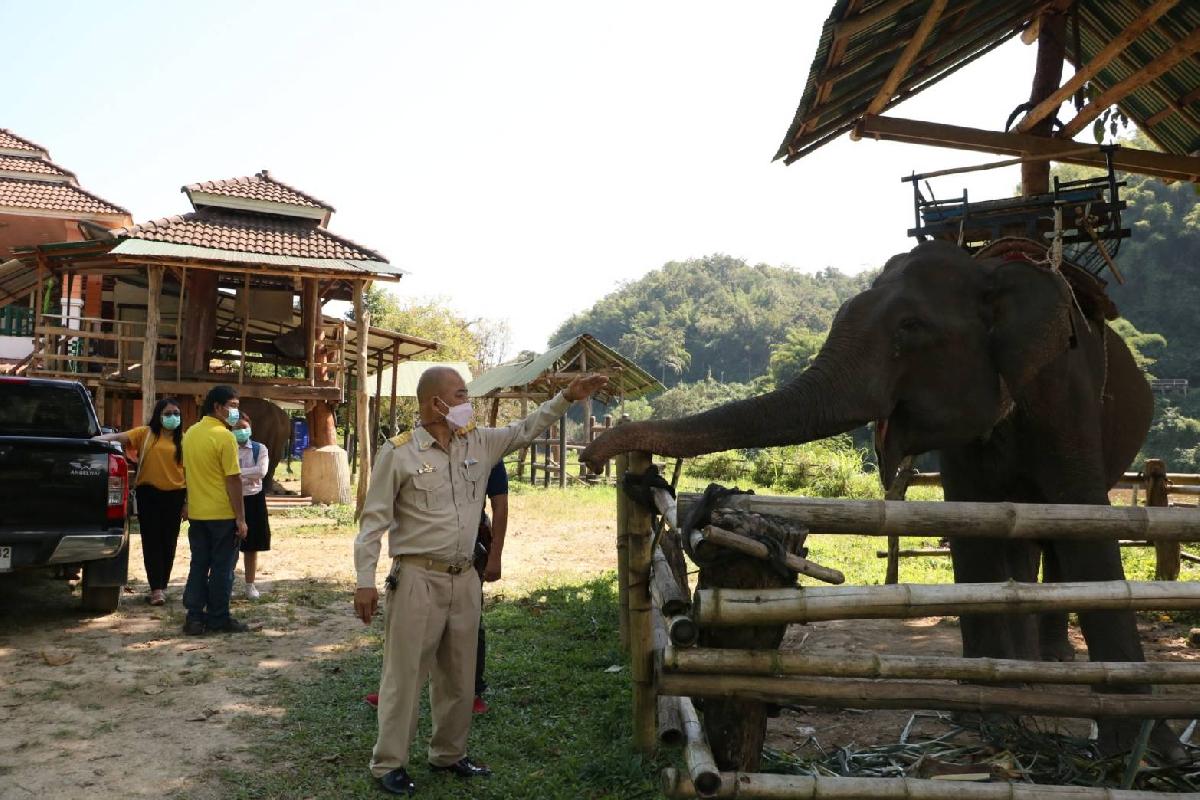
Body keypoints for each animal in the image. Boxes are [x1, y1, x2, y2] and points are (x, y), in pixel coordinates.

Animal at [582, 238, 1183, 759]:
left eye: (910, 328)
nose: (593, 454)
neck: (986, 271)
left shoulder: (1065, 390)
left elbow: (1084, 524)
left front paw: (1144, 750)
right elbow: (972, 527)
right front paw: (986, 714)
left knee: (1051, 533)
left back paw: (1053, 662)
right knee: (1019, 534)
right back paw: (1027, 669)